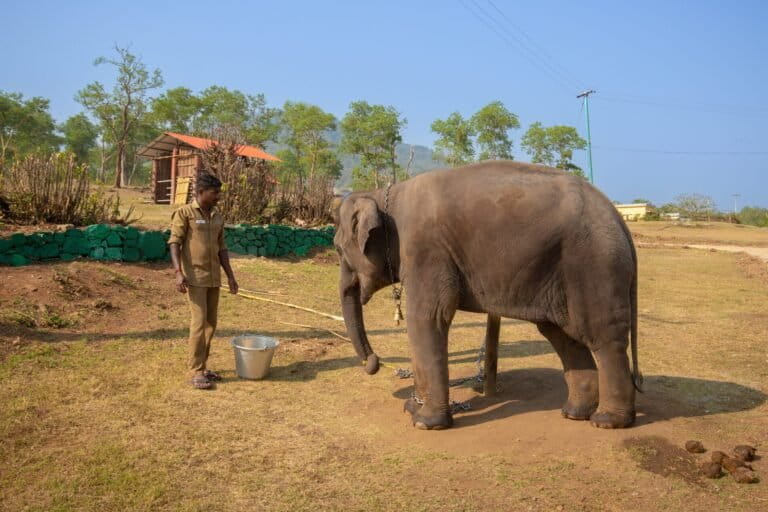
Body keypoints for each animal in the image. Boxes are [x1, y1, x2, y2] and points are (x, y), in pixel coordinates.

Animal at [336, 159, 640, 428]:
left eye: (338, 249)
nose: (373, 364)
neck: (386, 194)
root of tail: (617, 216)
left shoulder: (426, 250)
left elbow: (427, 317)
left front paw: (424, 423)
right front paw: (412, 409)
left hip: (594, 265)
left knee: (602, 337)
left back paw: (607, 421)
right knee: (563, 335)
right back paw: (575, 413)